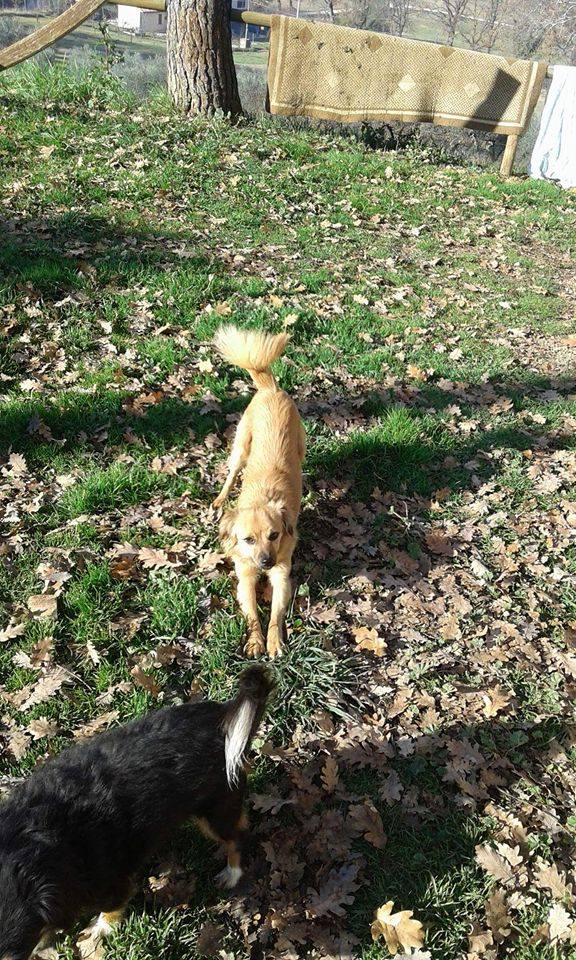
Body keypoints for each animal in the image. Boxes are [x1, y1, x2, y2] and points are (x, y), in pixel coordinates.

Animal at [0, 666, 272, 960]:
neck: (31, 842)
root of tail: (223, 715)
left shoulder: (111, 884)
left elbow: (110, 910)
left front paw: (99, 932)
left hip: (214, 812)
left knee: (237, 836)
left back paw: (231, 874)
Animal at [212, 325, 306, 659]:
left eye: (274, 535)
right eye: (248, 539)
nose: (265, 562)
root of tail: (270, 389)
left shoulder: (282, 572)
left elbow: (275, 613)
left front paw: (274, 641)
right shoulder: (245, 575)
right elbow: (252, 612)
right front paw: (255, 641)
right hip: (241, 447)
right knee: (231, 474)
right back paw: (219, 498)